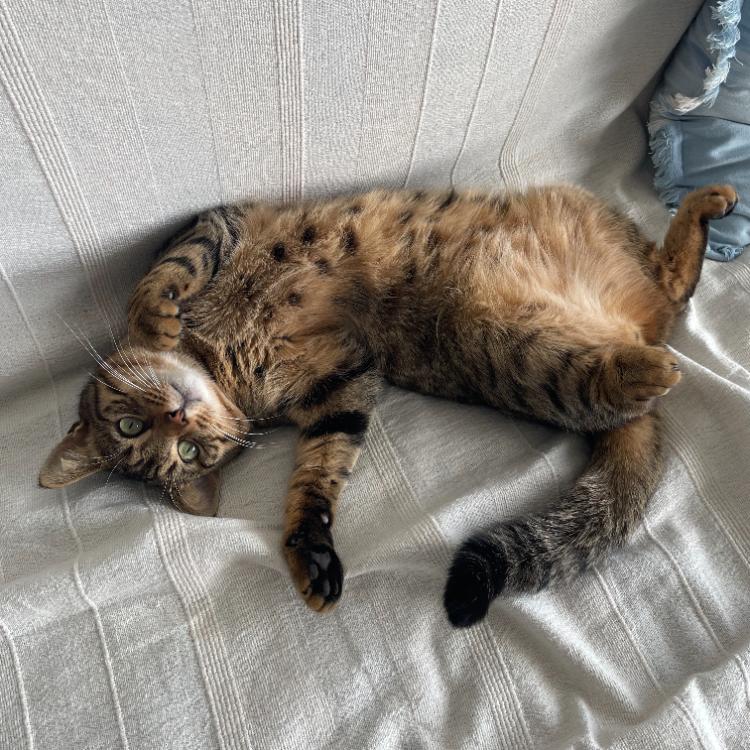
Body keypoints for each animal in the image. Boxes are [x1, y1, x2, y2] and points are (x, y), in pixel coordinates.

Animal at [38, 183, 738, 627]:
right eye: (181, 452)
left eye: (135, 425)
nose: (180, 417)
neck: (223, 361)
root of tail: (638, 334)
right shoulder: (339, 387)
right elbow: (317, 476)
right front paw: (312, 551)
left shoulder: (216, 222)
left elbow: (166, 274)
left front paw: (155, 320)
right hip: (502, 348)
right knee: (661, 309)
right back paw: (648, 367)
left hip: (587, 230)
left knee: (673, 284)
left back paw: (707, 205)